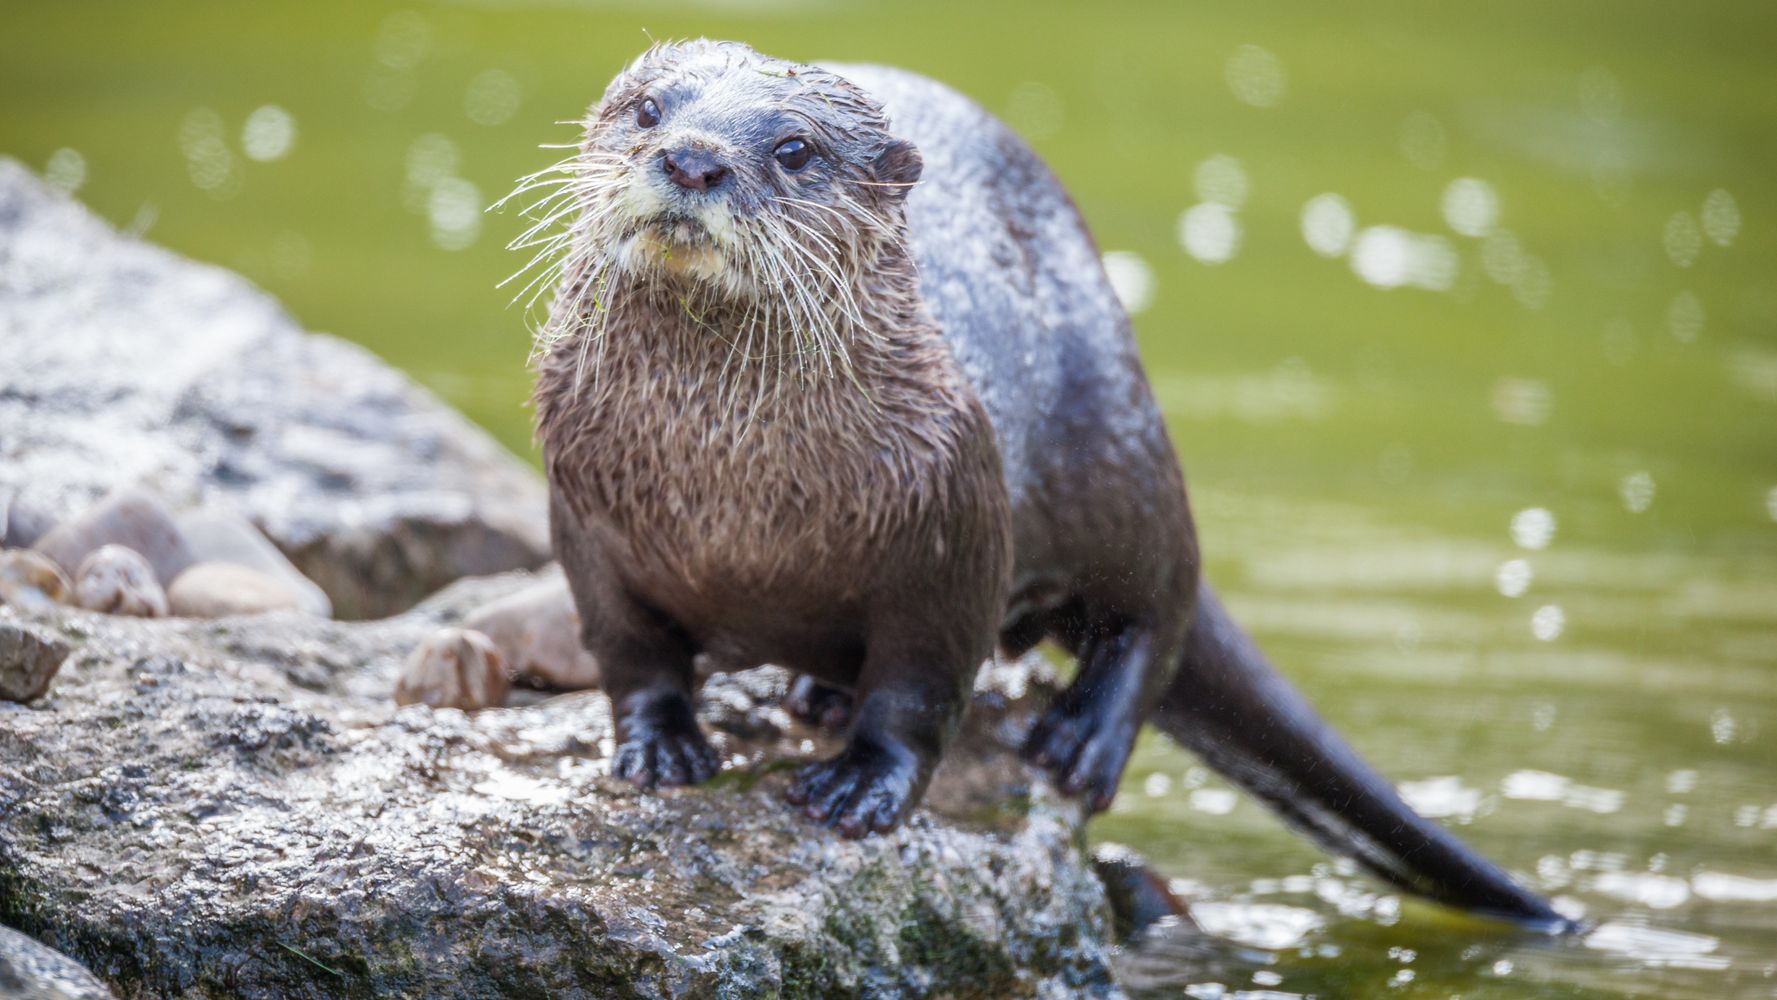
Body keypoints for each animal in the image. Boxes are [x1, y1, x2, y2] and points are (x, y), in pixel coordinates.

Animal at [522, 39, 1570, 930]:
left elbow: (920, 687)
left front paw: (862, 784)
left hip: (1122, 447)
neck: (727, 491)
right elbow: (631, 652)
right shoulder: (586, 521)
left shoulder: (952, 527)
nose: (694, 160)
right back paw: (816, 696)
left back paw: (1078, 741)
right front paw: (658, 745)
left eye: (792, 148)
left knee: (1159, 603)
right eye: (648, 109)